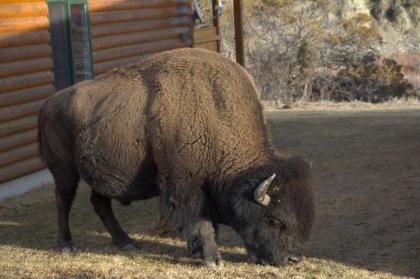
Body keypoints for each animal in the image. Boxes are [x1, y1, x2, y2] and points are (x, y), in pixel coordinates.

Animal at [38, 48, 316, 270]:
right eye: (275, 221)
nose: (293, 259)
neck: (216, 115)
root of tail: (48, 103)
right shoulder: (185, 184)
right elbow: (200, 221)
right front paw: (211, 260)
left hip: (100, 172)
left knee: (100, 203)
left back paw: (127, 243)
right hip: (65, 171)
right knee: (63, 200)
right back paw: (67, 245)